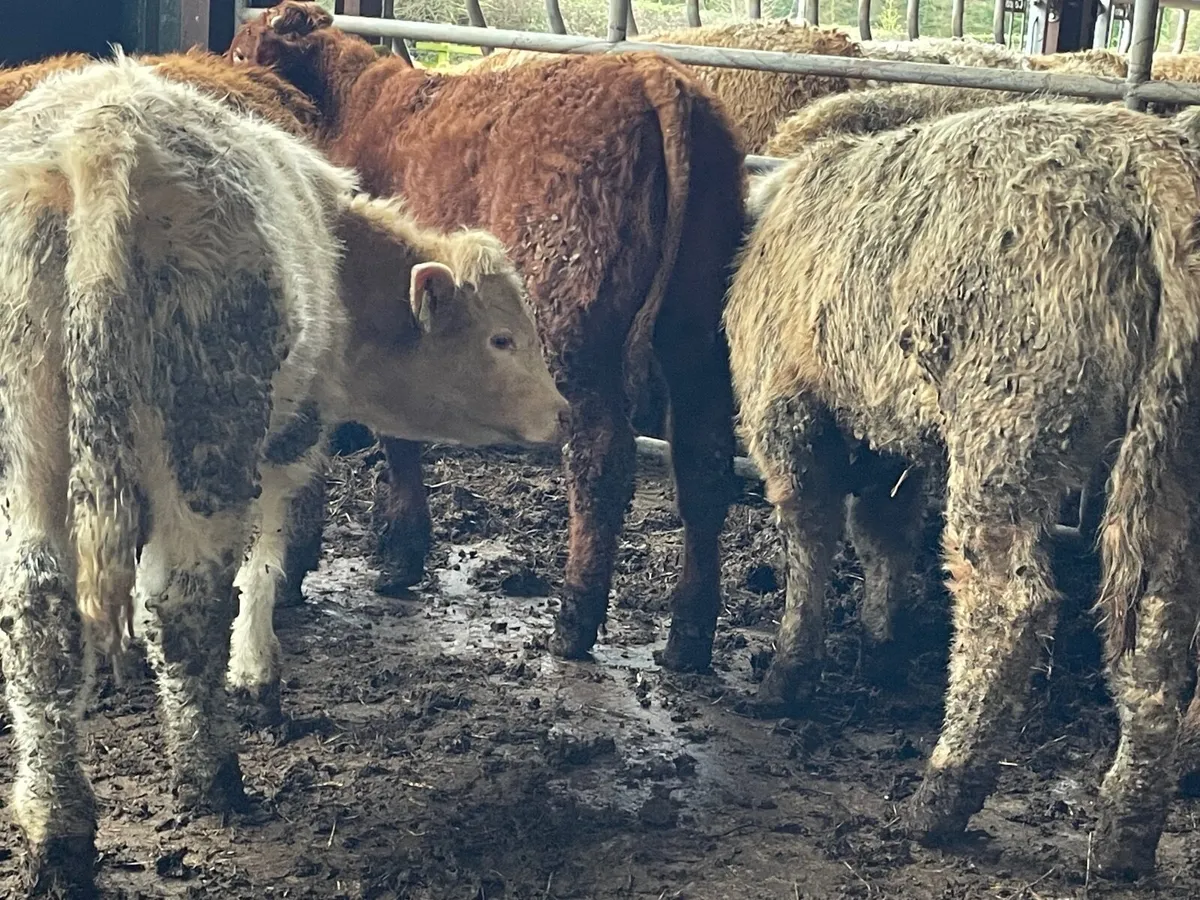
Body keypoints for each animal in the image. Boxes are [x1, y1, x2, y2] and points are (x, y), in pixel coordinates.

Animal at [0, 54, 565, 896]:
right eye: (502, 338)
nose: (563, 414)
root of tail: (99, 139)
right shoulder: (294, 438)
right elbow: (265, 565)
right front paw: (256, 675)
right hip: (211, 435)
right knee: (186, 603)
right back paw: (211, 774)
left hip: (28, 447)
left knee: (38, 617)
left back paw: (55, 825)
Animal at [226, 3, 747, 687]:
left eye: (240, 52)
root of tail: (651, 72)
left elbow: (388, 438)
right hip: (697, 329)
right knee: (705, 460)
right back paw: (688, 637)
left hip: (572, 326)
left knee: (600, 456)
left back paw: (574, 620)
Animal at [725, 99, 1200, 879]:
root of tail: (1151, 165)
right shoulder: (889, 434)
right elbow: (882, 532)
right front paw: (883, 644)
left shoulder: (785, 408)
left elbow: (810, 537)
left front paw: (789, 674)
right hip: (1173, 456)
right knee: (1158, 625)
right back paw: (1123, 838)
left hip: (1008, 424)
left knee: (1007, 605)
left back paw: (939, 799)